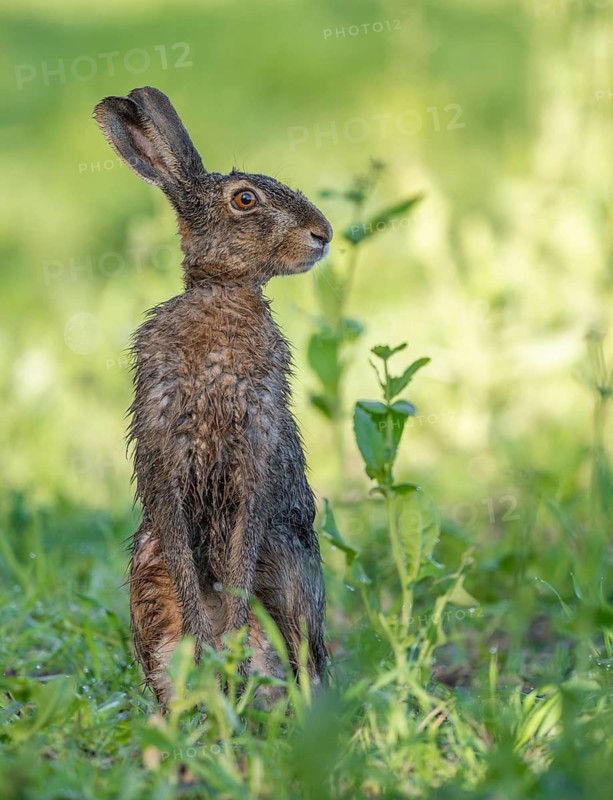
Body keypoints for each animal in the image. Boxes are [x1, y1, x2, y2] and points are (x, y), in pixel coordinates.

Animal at [93, 86, 331, 706]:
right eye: (244, 199)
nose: (323, 234)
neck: (222, 294)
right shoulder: (164, 438)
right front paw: (207, 637)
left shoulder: (256, 442)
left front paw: (225, 634)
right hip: (148, 572)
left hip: (290, 569)